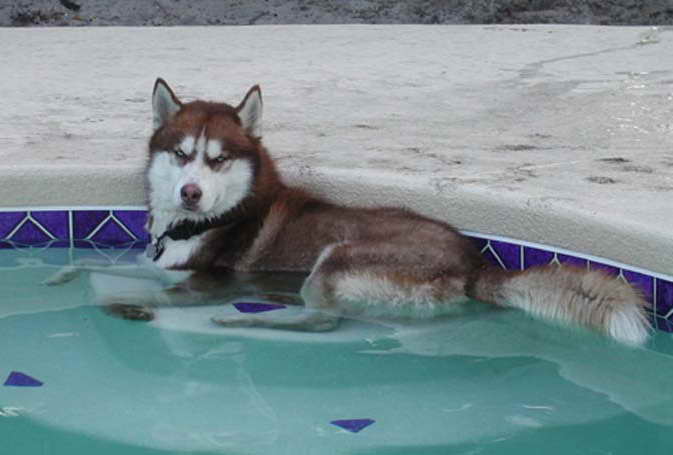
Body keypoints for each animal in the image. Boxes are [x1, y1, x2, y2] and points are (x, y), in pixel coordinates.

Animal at [48, 79, 652, 346]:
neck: (207, 221)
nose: (191, 193)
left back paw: (243, 321)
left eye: (218, 160)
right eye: (181, 154)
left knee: (323, 321)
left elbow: (141, 288)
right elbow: (94, 262)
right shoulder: (154, 263)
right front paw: (61, 276)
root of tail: (477, 263)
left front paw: (121, 303)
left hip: (336, 258)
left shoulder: (205, 280)